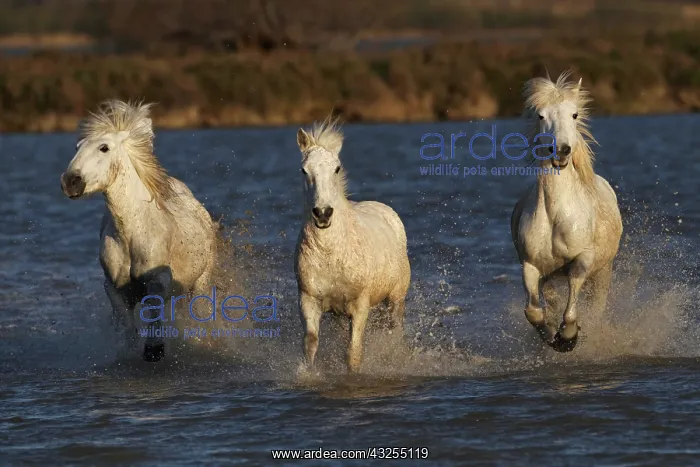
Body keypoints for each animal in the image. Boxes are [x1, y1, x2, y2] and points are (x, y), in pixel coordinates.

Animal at [60, 99, 217, 362]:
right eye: (77, 147)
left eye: (104, 148)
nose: (71, 182)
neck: (131, 233)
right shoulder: (114, 288)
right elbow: (128, 327)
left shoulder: (157, 282)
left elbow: (154, 315)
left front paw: (155, 350)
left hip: (200, 283)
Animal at [294, 117, 411, 373]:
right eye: (304, 169)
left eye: (336, 168)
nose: (323, 214)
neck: (330, 253)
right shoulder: (309, 300)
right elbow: (310, 344)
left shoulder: (360, 305)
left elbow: (353, 353)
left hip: (396, 298)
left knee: (395, 331)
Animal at [510, 71, 623, 352]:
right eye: (540, 115)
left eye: (574, 114)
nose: (561, 151)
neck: (555, 214)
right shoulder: (530, 265)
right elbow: (534, 311)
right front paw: (554, 337)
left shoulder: (583, 259)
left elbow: (572, 310)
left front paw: (569, 336)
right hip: (550, 276)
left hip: (603, 272)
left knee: (596, 308)